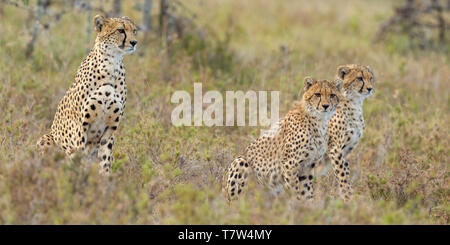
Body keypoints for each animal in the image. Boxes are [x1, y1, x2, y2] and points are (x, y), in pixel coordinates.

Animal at [37, 14, 137, 175]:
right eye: (120, 30)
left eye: (134, 31)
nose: (134, 42)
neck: (112, 64)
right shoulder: (80, 127)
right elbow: (80, 157)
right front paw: (82, 177)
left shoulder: (110, 129)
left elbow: (104, 160)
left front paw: (103, 180)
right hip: (45, 139)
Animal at [320, 64, 376, 201]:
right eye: (359, 78)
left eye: (370, 78)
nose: (370, 88)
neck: (355, 103)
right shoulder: (334, 148)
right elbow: (342, 173)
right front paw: (347, 196)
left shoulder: (346, 149)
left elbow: (346, 170)